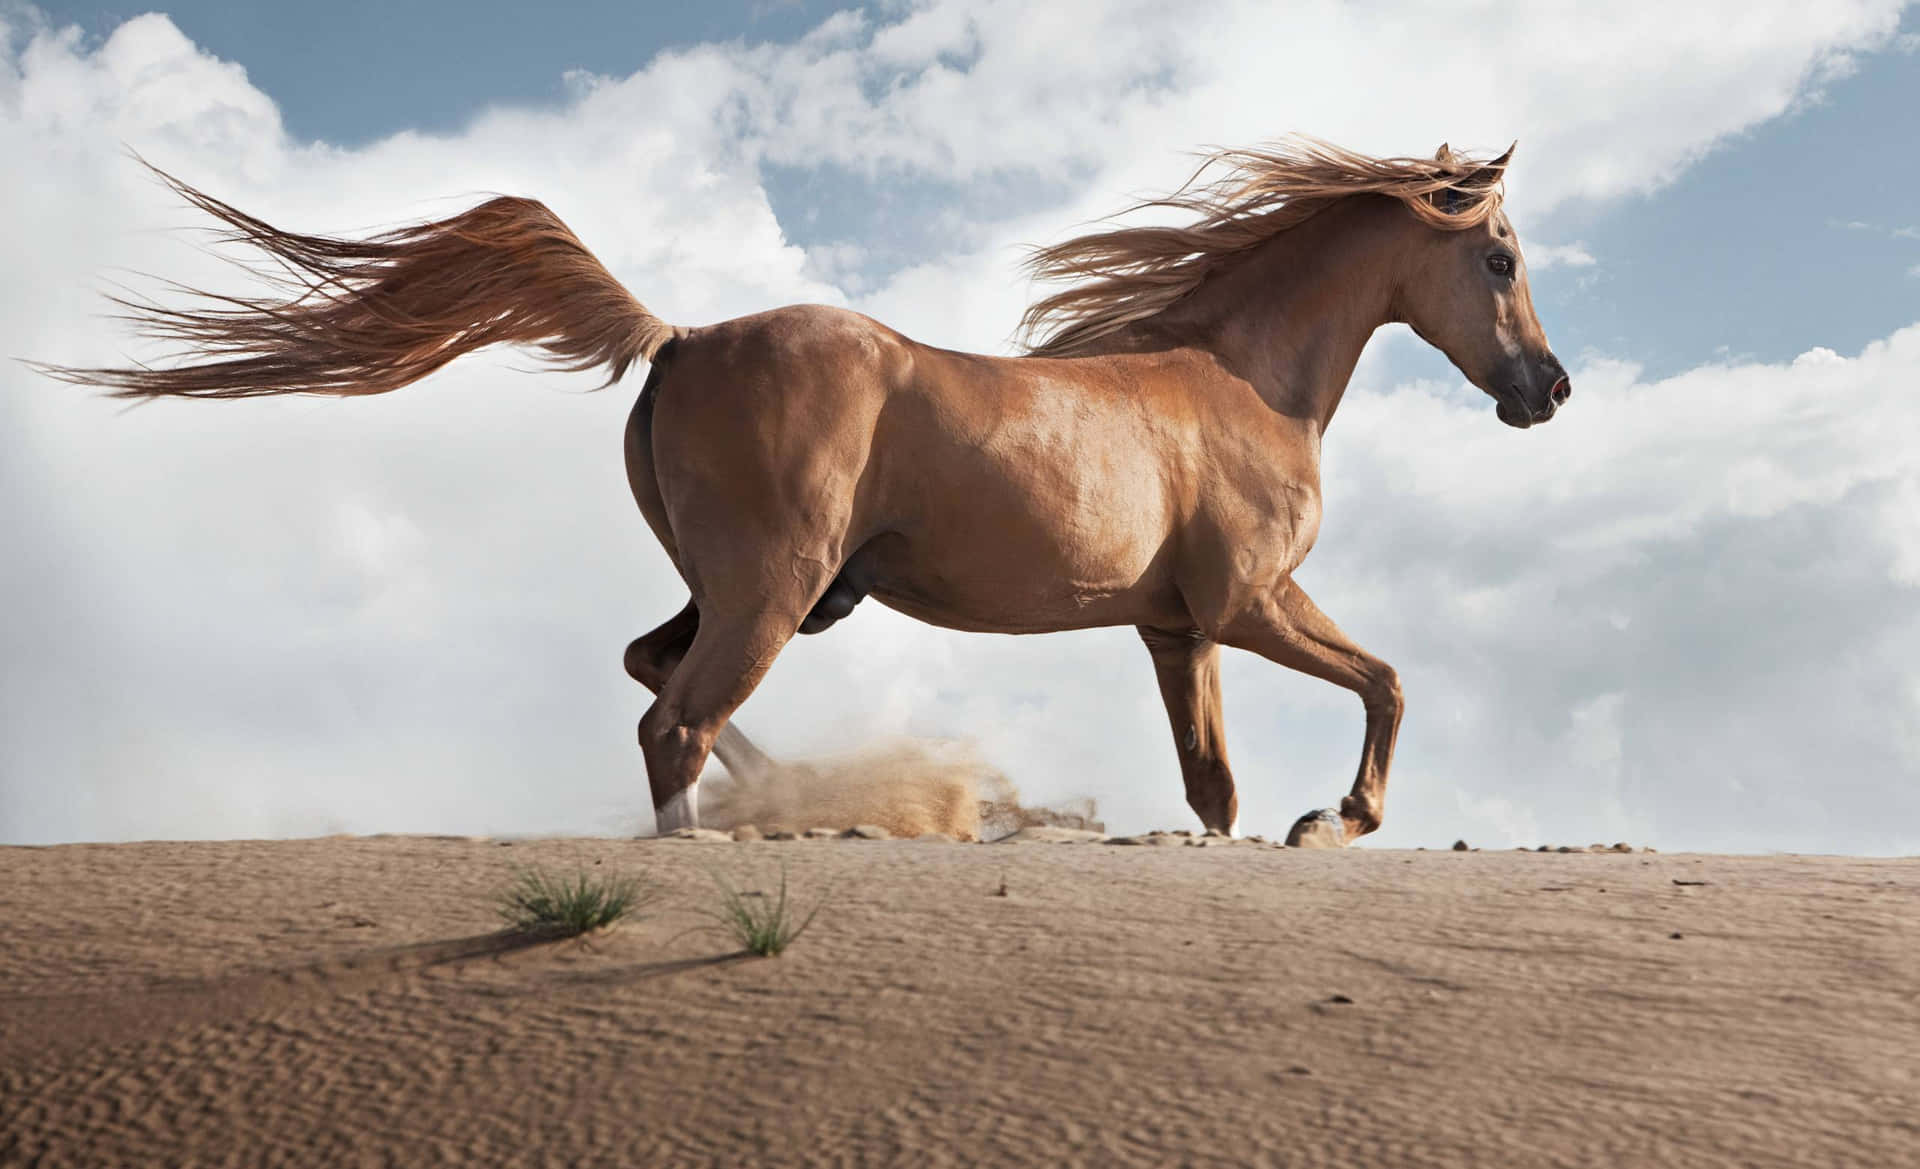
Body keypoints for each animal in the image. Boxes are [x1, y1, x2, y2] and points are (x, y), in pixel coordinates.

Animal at [41, 137, 1569, 847]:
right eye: (1497, 255)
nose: (1546, 391)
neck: (1241, 380)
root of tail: (677, 337)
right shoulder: (1250, 599)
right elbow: (1387, 682)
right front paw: (1340, 820)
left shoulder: (1173, 628)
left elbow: (1212, 789)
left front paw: (1283, 825)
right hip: (774, 591)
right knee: (672, 717)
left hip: (764, 590)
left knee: (656, 677)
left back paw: (793, 796)